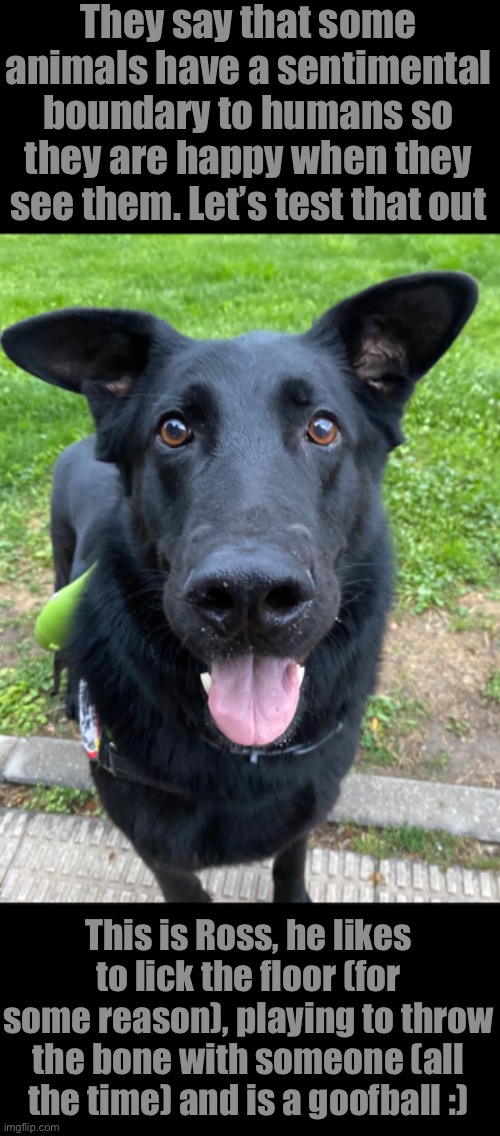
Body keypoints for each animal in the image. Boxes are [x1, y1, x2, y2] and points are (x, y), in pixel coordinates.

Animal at [0, 270, 477, 899]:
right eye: (174, 430)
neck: (245, 752)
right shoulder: (158, 850)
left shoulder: (306, 811)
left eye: (322, 427)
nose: (249, 594)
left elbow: (289, 863)